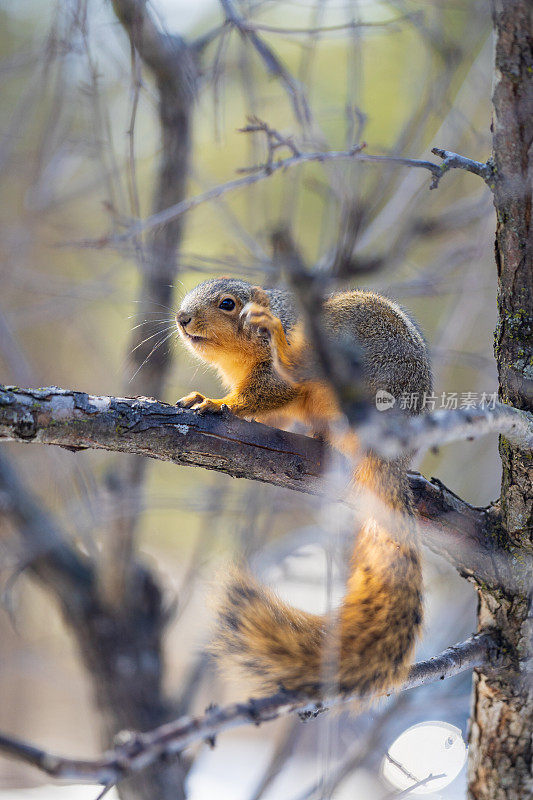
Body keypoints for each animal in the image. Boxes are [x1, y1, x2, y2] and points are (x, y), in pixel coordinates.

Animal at [177, 278, 430, 696]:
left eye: (228, 304)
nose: (182, 318)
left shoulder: (273, 375)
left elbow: (270, 392)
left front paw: (215, 402)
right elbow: (273, 412)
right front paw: (204, 396)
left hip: (346, 342)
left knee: (301, 368)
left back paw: (286, 349)